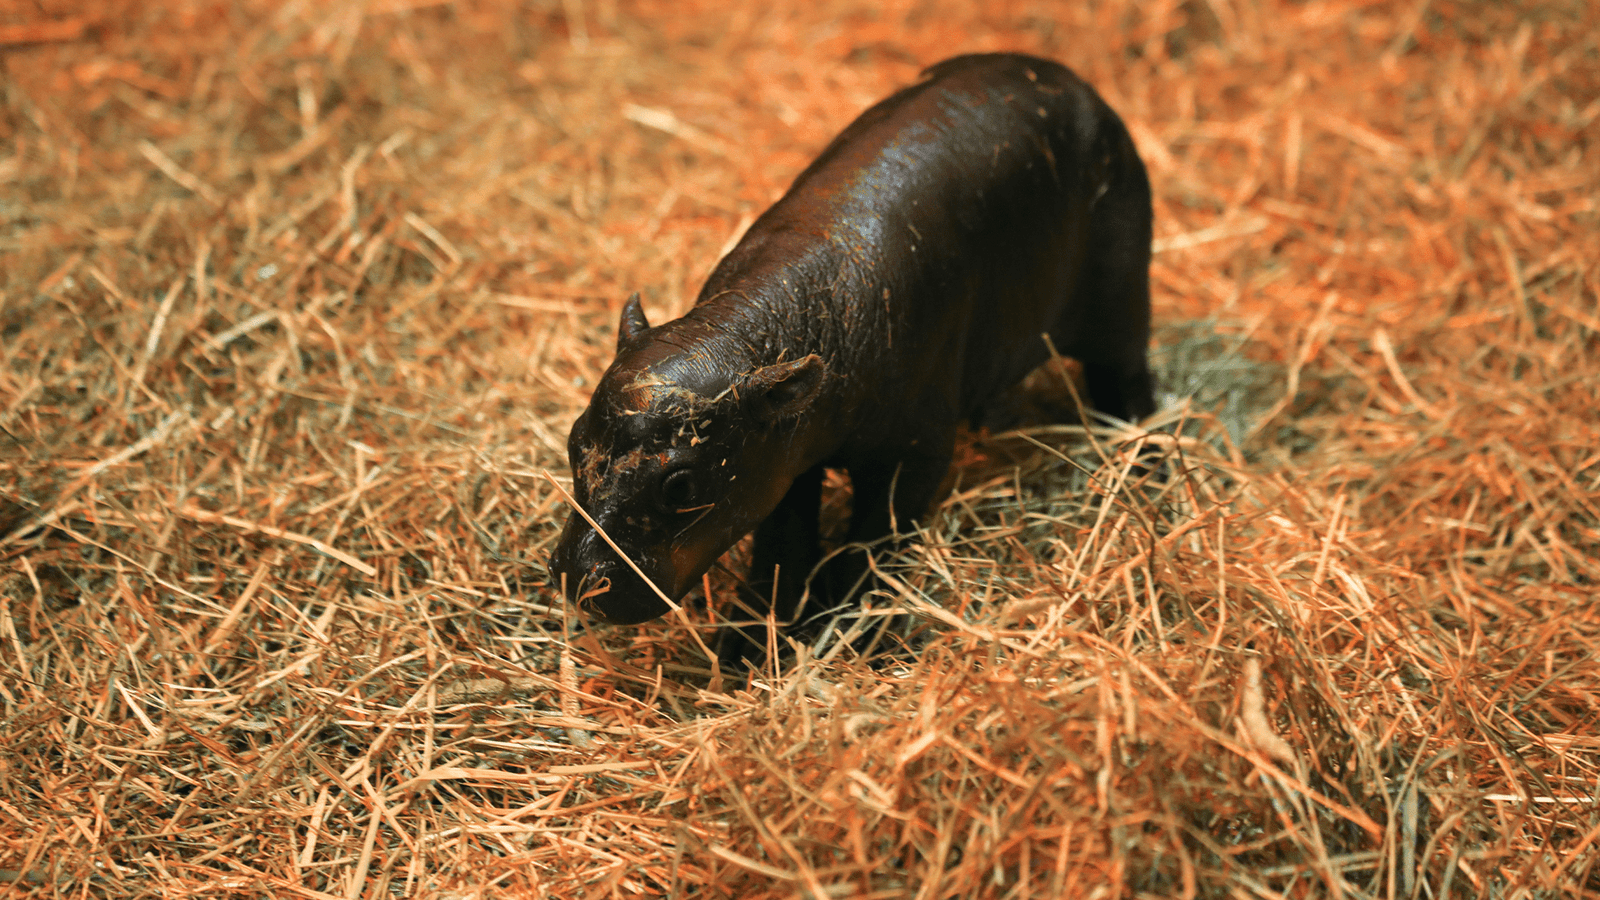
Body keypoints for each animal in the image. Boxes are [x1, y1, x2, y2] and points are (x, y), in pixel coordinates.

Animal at [547, 50, 1152, 650]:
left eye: (680, 485)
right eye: (574, 441)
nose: (579, 579)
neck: (744, 333)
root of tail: (1074, 80)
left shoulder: (914, 454)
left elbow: (870, 543)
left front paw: (841, 630)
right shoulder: (783, 455)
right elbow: (782, 546)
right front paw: (749, 645)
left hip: (1121, 302)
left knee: (1127, 378)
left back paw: (1140, 459)